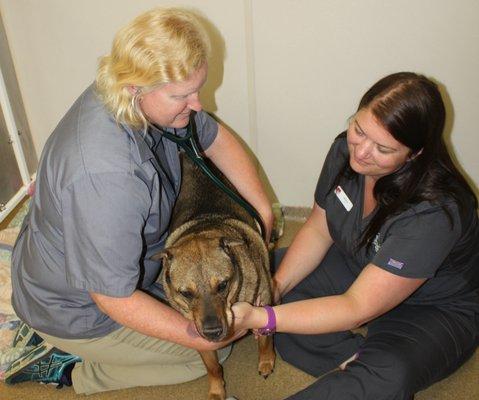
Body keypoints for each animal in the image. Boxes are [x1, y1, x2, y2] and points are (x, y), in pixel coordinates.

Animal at [154, 155, 274, 398]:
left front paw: (266, 361)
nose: (213, 332)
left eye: (222, 285)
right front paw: (217, 390)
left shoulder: (264, 303)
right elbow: (213, 367)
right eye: (186, 293)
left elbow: (265, 340)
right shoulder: (200, 338)